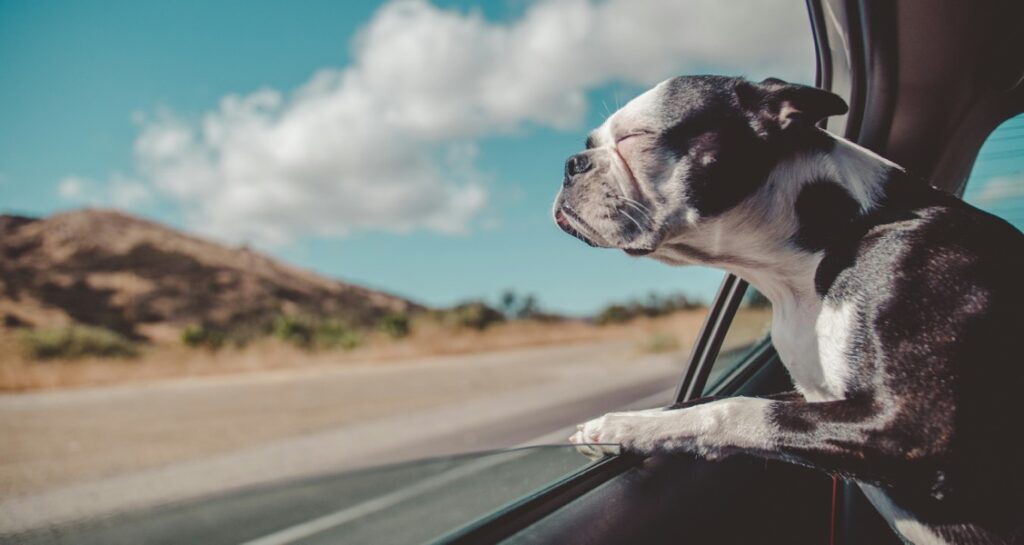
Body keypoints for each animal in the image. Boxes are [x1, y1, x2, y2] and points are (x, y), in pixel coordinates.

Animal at [557, 76, 1024, 545]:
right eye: (590, 144)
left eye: (636, 137)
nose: (571, 163)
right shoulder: (813, 395)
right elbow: (707, 399)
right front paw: (620, 424)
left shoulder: (909, 428)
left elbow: (733, 408)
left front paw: (627, 428)